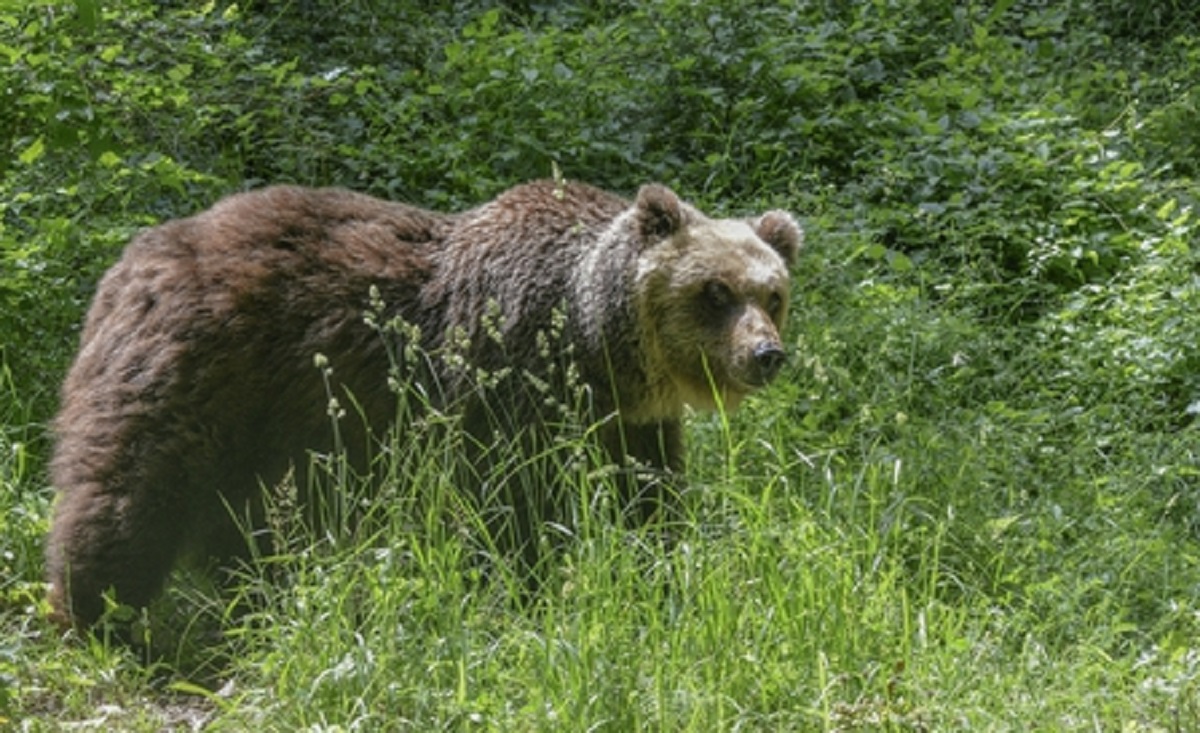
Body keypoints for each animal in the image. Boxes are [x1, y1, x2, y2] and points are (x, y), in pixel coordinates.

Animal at [45, 179, 801, 630]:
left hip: (264, 423)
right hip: (195, 373)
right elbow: (512, 505)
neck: (594, 343)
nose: (766, 353)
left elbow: (645, 498)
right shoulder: (507, 381)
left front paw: (660, 571)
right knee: (133, 487)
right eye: (714, 291)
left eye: (773, 293)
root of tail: (131, 259)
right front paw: (527, 590)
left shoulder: (628, 422)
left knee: (249, 517)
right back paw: (93, 611)